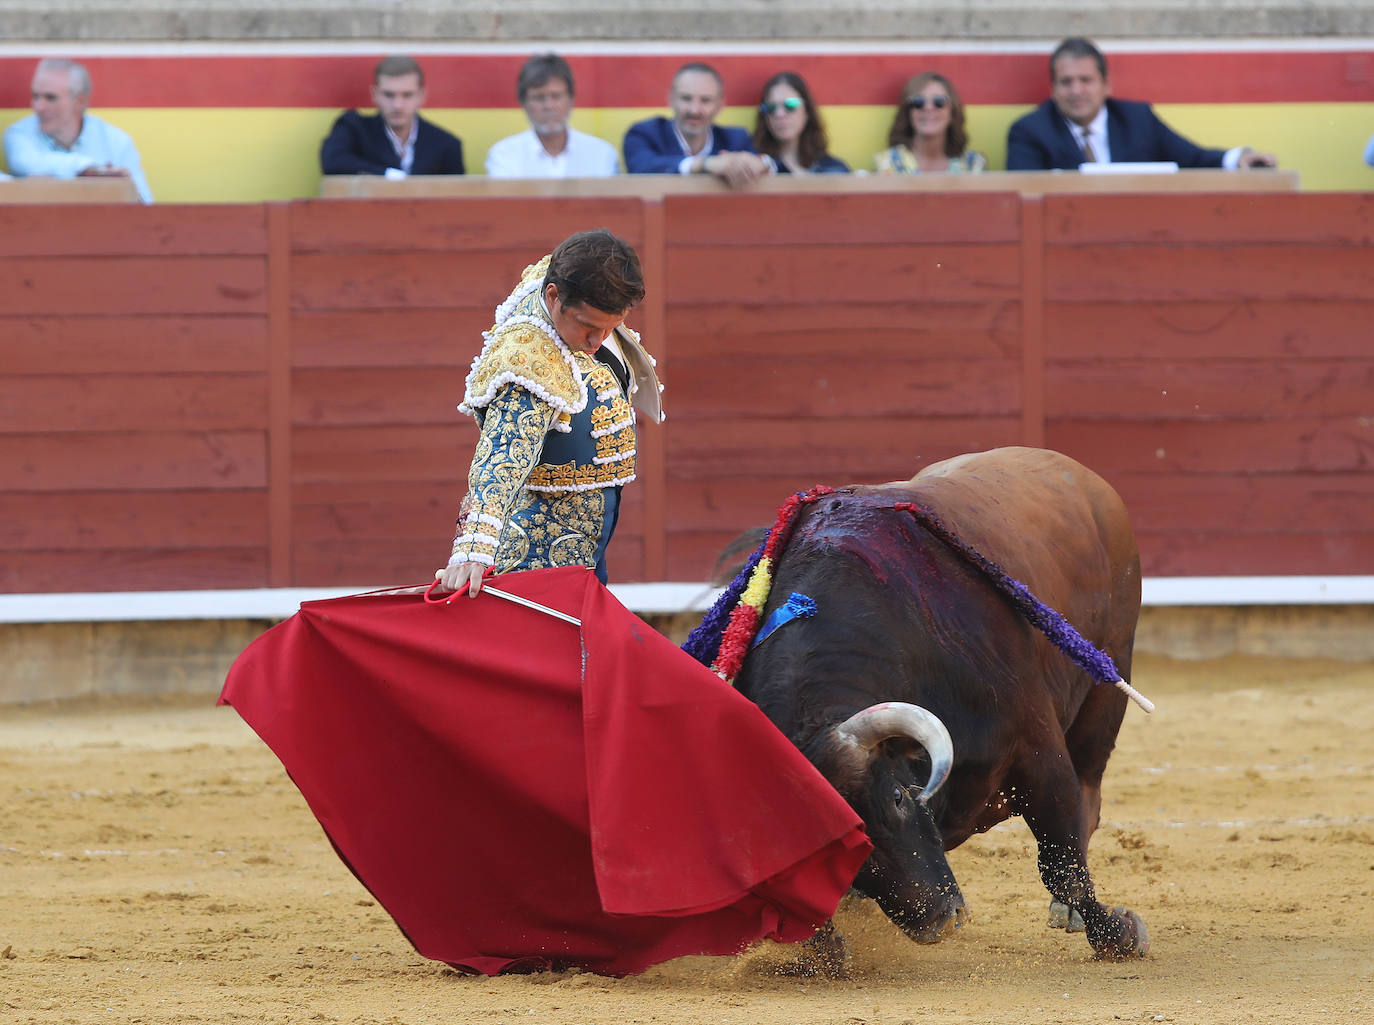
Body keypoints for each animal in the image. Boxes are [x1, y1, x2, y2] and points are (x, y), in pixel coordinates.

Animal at [730, 442, 1148, 961]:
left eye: (895, 798)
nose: (940, 920)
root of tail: (1078, 473)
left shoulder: (1036, 747)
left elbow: (1062, 861)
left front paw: (1119, 934)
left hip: (1108, 681)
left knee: (1089, 788)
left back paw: (1069, 913)